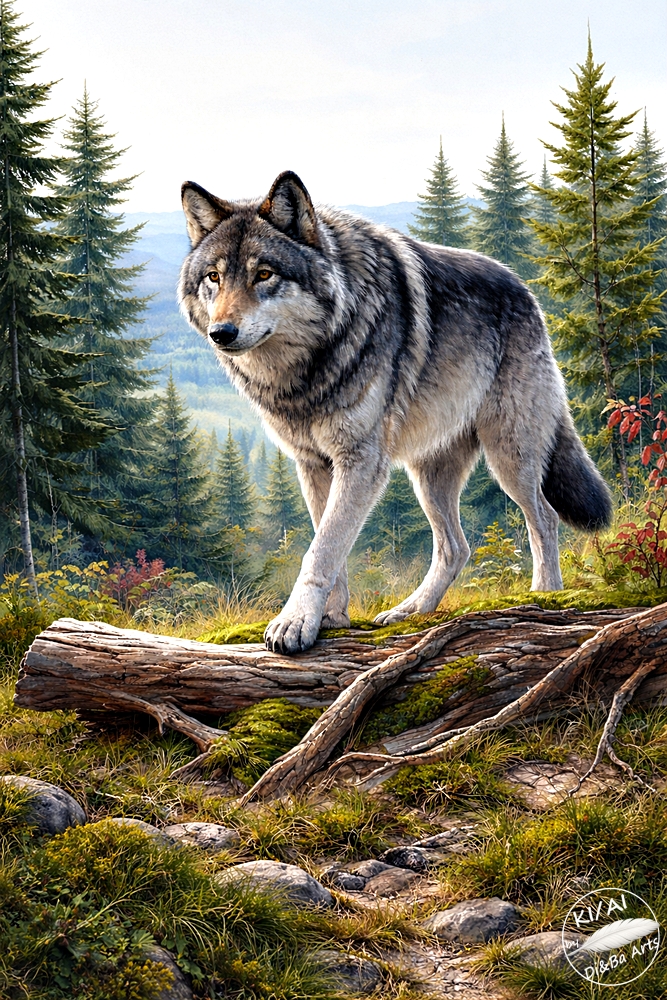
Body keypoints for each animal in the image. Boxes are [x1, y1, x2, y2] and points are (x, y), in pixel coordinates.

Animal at [178, 170, 611, 655]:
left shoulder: (361, 461)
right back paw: (412, 610)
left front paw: (294, 622)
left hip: (509, 456)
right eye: (214, 277)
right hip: (428, 474)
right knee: (456, 547)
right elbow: (331, 544)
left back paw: (545, 596)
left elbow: (321, 549)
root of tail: (527, 290)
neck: (308, 369)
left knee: (545, 519)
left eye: (264, 274)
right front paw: (330, 619)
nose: (221, 332)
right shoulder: (313, 463)